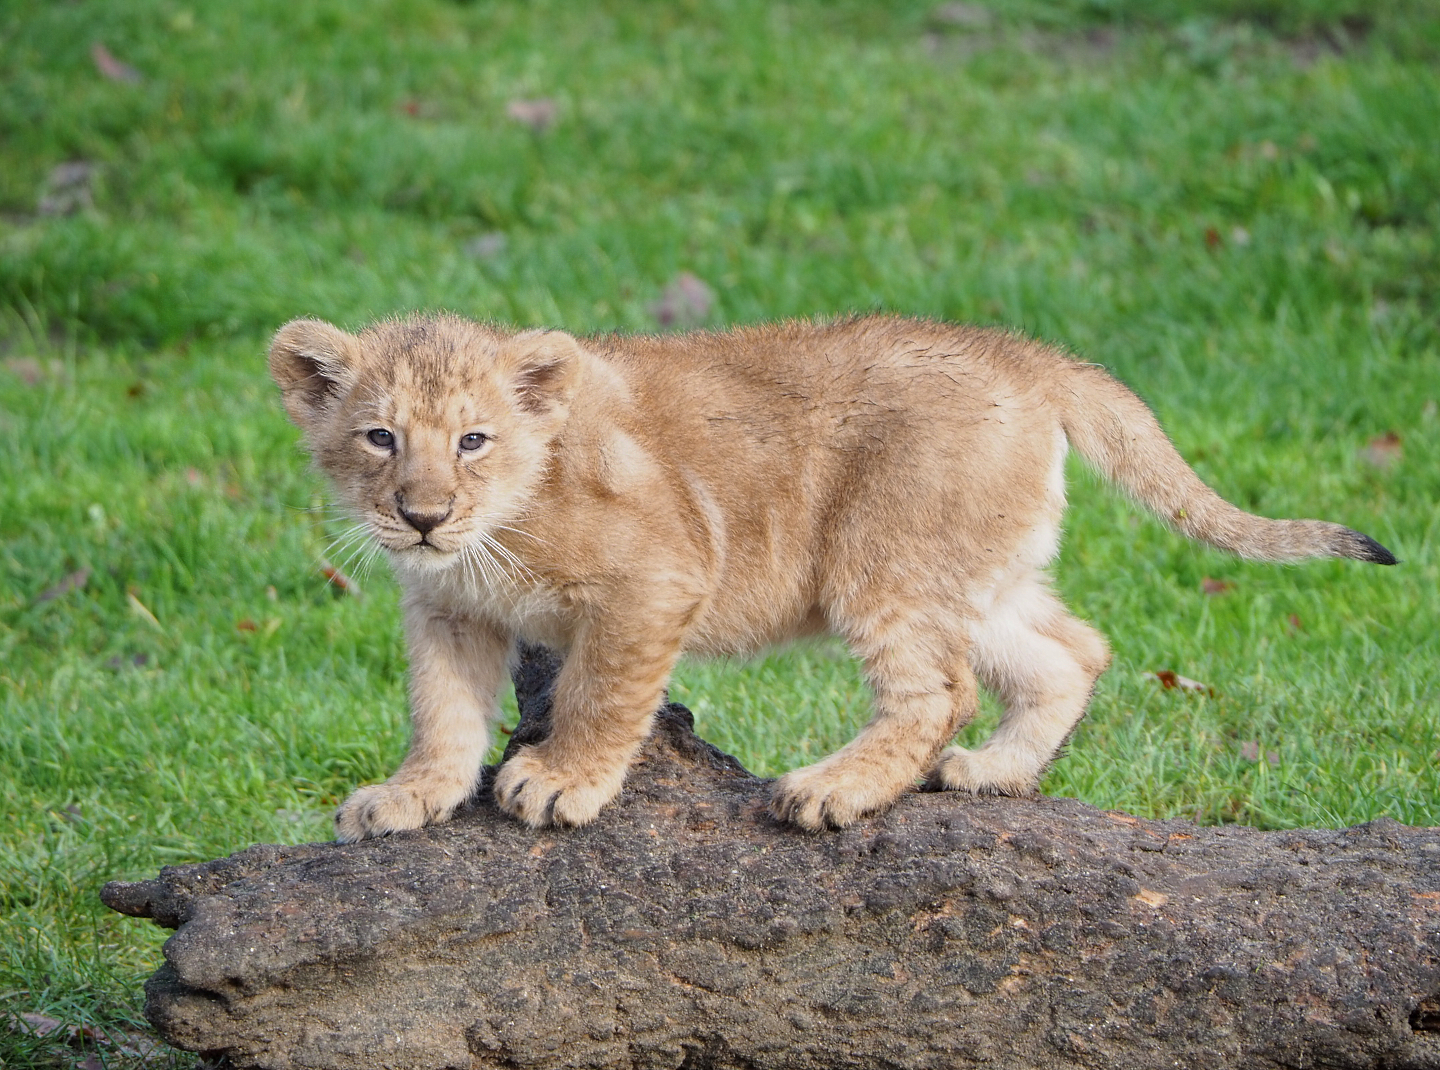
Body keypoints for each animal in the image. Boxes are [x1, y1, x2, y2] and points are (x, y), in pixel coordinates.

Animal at [267, 312, 1395, 841]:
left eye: (473, 439)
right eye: (379, 437)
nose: (421, 514)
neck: (493, 533)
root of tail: (1023, 354)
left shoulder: (660, 576)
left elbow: (599, 693)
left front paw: (558, 780)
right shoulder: (447, 611)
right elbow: (441, 712)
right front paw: (411, 797)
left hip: (887, 556)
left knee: (938, 690)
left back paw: (830, 790)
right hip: (972, 567)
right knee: (1071, 649)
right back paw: (995, 774)